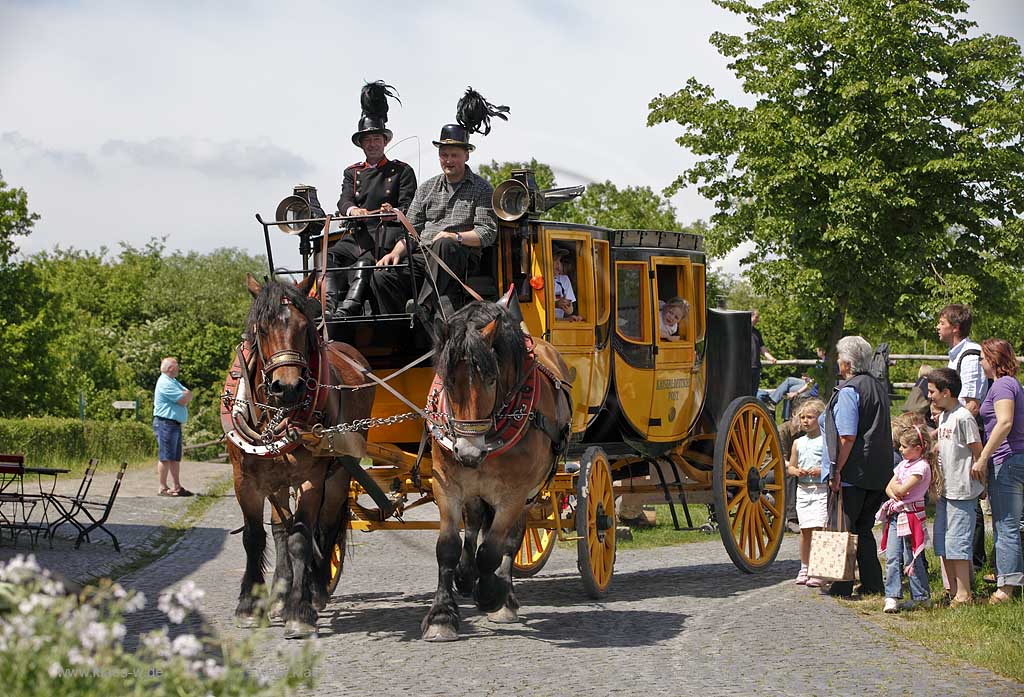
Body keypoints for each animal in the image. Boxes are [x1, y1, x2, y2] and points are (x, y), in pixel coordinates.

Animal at [226, 272, 374, 634]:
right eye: (261, 328)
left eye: (304, 327)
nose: (288, 387)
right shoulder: (244, 480)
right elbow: (255, 536)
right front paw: (250, 605)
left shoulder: (312, 479)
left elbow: (302, 539)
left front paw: (301, 610)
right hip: (276, 479)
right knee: (280, 528)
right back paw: (281, 594)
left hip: (339, 474)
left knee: (326, 524)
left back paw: (316, 588)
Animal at [419, 300, 573, 642]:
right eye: (448, 382)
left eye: (491, 380)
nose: (468, 451)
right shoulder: (446, 484)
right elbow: (447, 547)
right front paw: (441, 616)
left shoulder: (515, 492)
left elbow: (493, 549)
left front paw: (491, 594)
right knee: (475, 521)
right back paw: (466, 575)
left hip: (530, 492)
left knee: (511, 540)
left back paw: (504, 596)